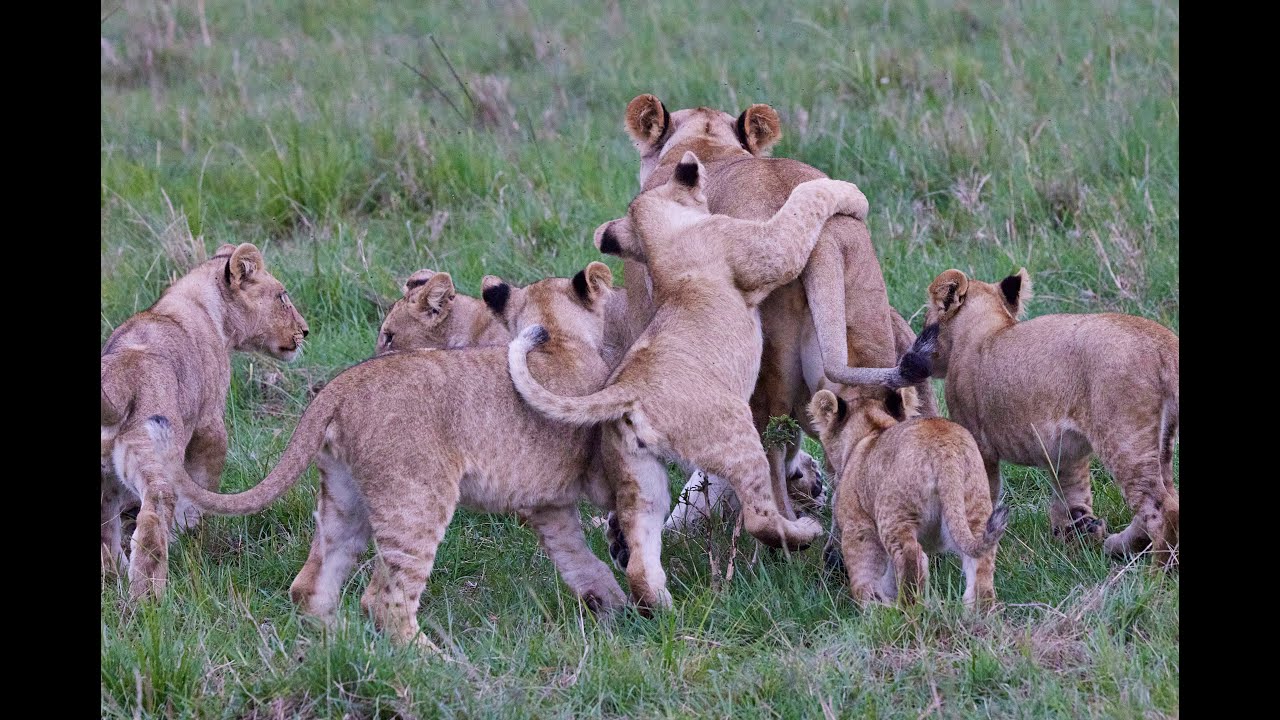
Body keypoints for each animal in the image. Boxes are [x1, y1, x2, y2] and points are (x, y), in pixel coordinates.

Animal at [101, 242, 310, 599]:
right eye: (282, 297)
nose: (305, 330)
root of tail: (116, 377)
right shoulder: (210, 425)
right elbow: (200, 487)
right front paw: (189, 531)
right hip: (153, 448)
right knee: (154, 510)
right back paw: (149, 597)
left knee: (106, 533)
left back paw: (114, 580)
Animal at [173, 264, 629, 645]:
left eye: (391, 335)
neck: (559, 338)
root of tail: (341, 385)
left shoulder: (544, 496)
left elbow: (574, 552)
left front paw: (614, 603)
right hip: (416, 501)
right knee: (383, 600)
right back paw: (438, 665)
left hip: (345, 499)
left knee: (309, 586)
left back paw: (345, 648)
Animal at [508, 152, 926, 609]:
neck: (667, 243)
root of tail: (628, 392)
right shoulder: (765, 249)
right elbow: (803, 207)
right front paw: (846, 192)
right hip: (747, 422)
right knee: (765, 501)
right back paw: (800, 538)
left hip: (642, 473)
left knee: (643, 554)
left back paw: (663, 605)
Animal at [808, 387, 1009, 608]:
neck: (870, 429)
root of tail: (945, 449)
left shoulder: (858, 526)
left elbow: (865, 575)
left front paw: (873, 608)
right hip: (974, 506)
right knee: (981, 566)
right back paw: (978, 611)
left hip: (894, 515)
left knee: (912, 556)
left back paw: (905, 610)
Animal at [903, 268, 1179, 567]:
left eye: (925, 325)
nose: (910, 358)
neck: (986, 326)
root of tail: (1164, 342)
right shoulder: (1067, 452)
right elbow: (1071, 497)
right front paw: (1074, 539)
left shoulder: (979, 443)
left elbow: (982, 497)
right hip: (1161, 441)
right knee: (1168, 495)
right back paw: (1119, 546)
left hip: (1124, 438)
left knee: (1161, 506)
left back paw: (1157, 570)